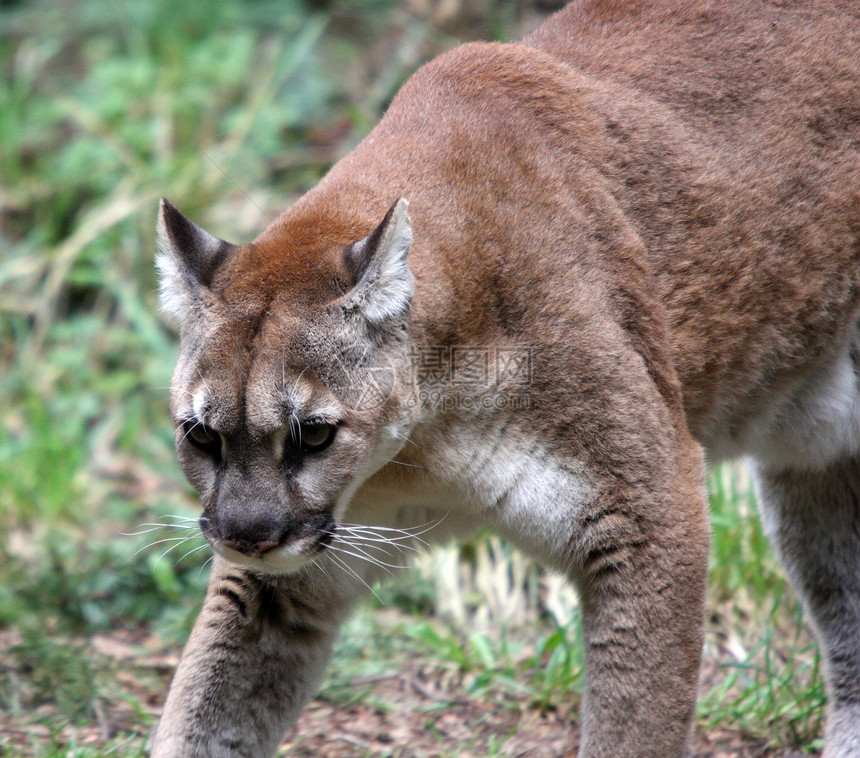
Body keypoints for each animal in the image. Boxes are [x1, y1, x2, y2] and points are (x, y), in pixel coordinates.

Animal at [151, 2, 860, 756]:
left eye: (313, 435)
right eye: (201, 436)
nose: (248, 536)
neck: (421, 445)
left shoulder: (650, 506)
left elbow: (634, 721)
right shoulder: (286, 578)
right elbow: (205, 711)